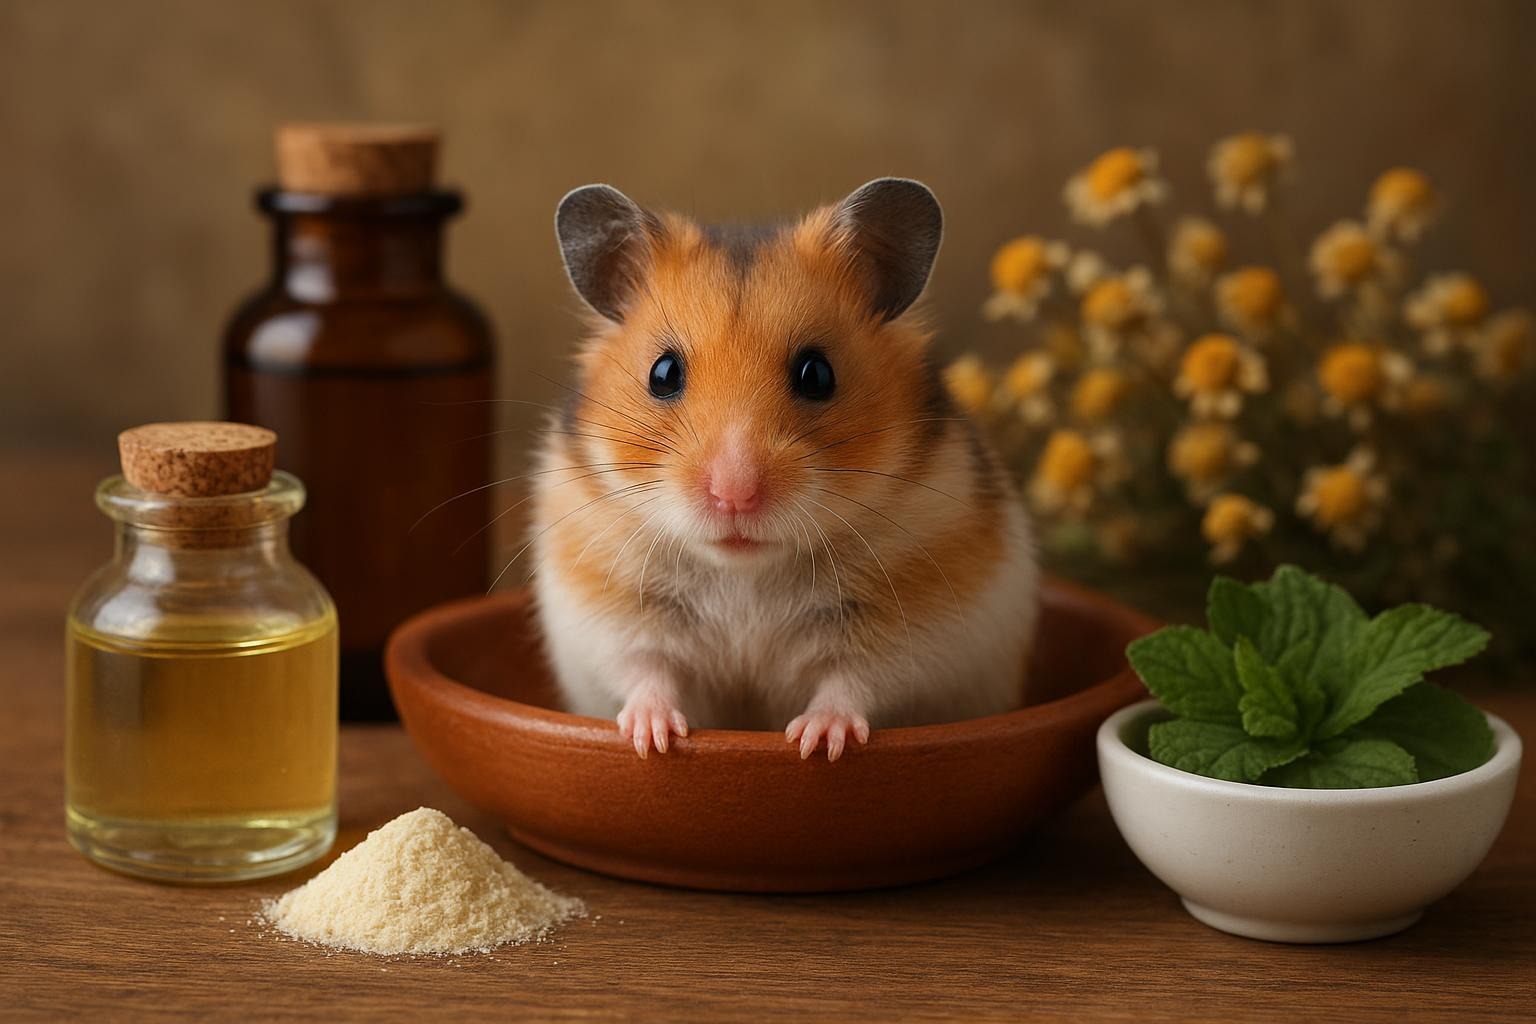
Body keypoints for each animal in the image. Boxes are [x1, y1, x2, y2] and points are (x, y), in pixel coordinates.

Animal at [530, 178, 1038, 760]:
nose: (734, 496)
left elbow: (853, 683)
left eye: (817, 374)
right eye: (663, 373)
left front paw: (816, 742)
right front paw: (651, 739)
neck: (746, 573)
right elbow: (646, 671)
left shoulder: (910, 631)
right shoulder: (613, 617)